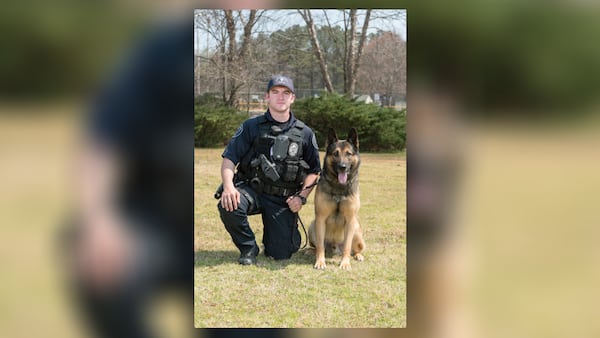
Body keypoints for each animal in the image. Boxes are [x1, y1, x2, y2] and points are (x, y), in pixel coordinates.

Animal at [310, 128, 366, 270]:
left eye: (348, 154)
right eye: (335, 154)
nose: (342, 167)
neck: (339, 187)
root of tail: (335, 249)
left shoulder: (350, 220)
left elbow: (347, 246)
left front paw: (345, 263)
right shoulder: (321, 218)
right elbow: (320, 246)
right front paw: (320, 262)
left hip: (357, 230)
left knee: (354, 249)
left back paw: (358, 255)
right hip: (312, 226)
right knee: (318, 246)